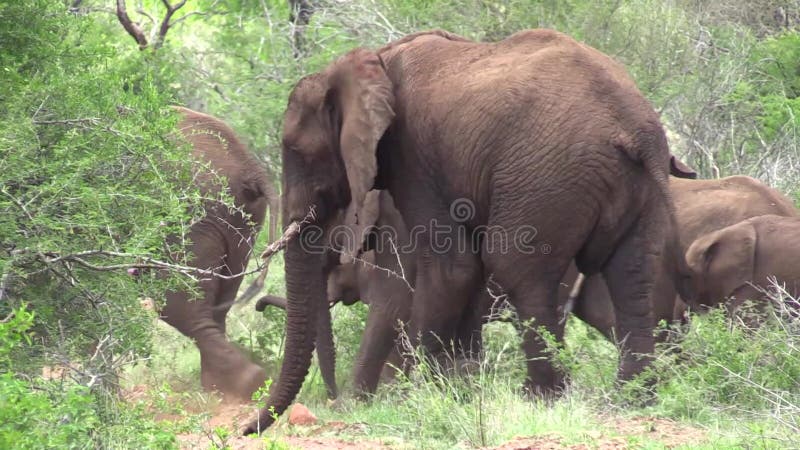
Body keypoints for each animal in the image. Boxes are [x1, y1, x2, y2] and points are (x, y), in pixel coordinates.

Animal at [158, 106, 280, 400]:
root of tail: (252, 168)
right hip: (241, 221)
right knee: (219, 301)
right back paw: (225, 387)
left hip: (191, 218)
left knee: (177, 304)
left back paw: (244, 383)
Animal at [245, 29, 680, 434]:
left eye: (295, 151)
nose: (245, 428)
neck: (369, 65)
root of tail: (634, 128)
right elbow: (466, 276)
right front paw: (462, 384)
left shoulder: (411, 154)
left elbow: (451, 270)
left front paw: (427, 392)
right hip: (633, 185)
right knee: (632, 276)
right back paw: (631, 399)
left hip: (549, 176)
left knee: (518, 271)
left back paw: (541, 397)